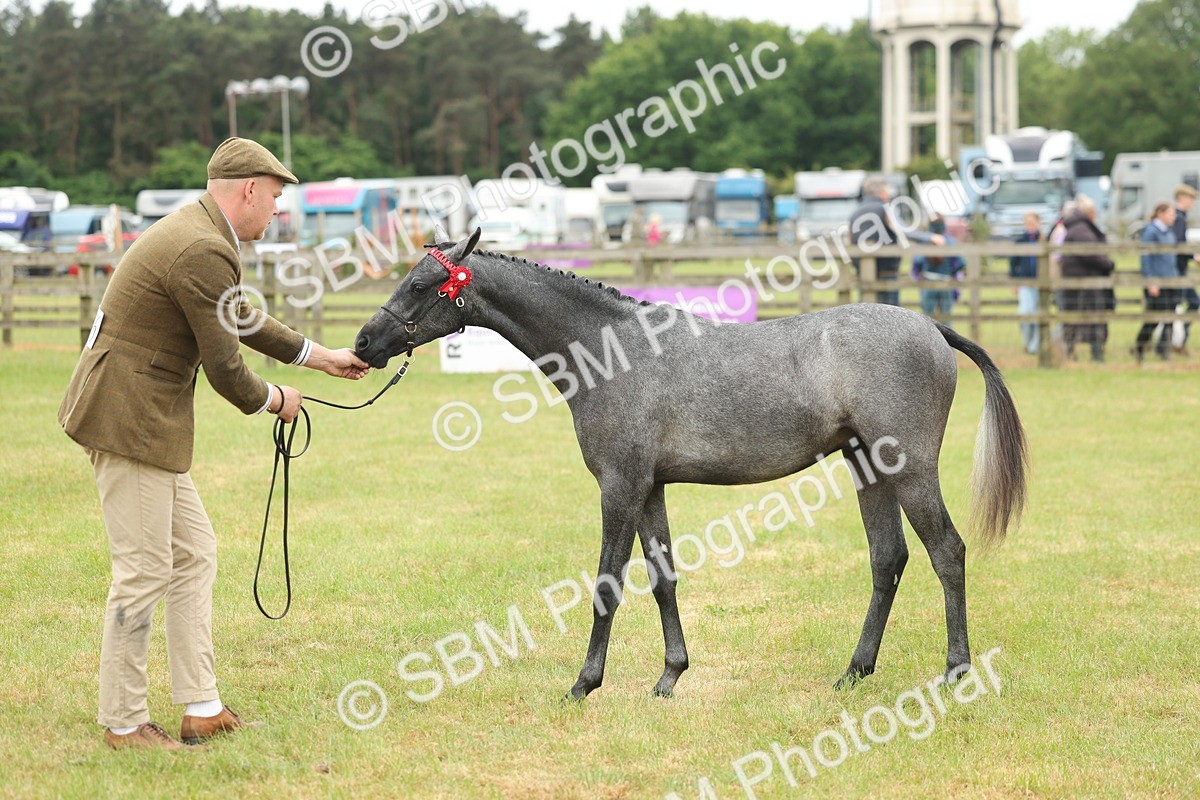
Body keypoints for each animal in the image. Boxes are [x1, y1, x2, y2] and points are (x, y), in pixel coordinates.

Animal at [354, 226, 1028, 699]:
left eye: (419, 285)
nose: (364, 342)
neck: (612, 351)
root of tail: (932, 328)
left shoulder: (620, 487)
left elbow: (607, 583)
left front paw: (584, 684)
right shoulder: (650, 489)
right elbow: (662, 577)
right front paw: (670, 676)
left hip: (909, 469)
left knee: (947, 552)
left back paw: (955, 672)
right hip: (868, 469)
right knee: (888, 559)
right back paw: (854, 672)